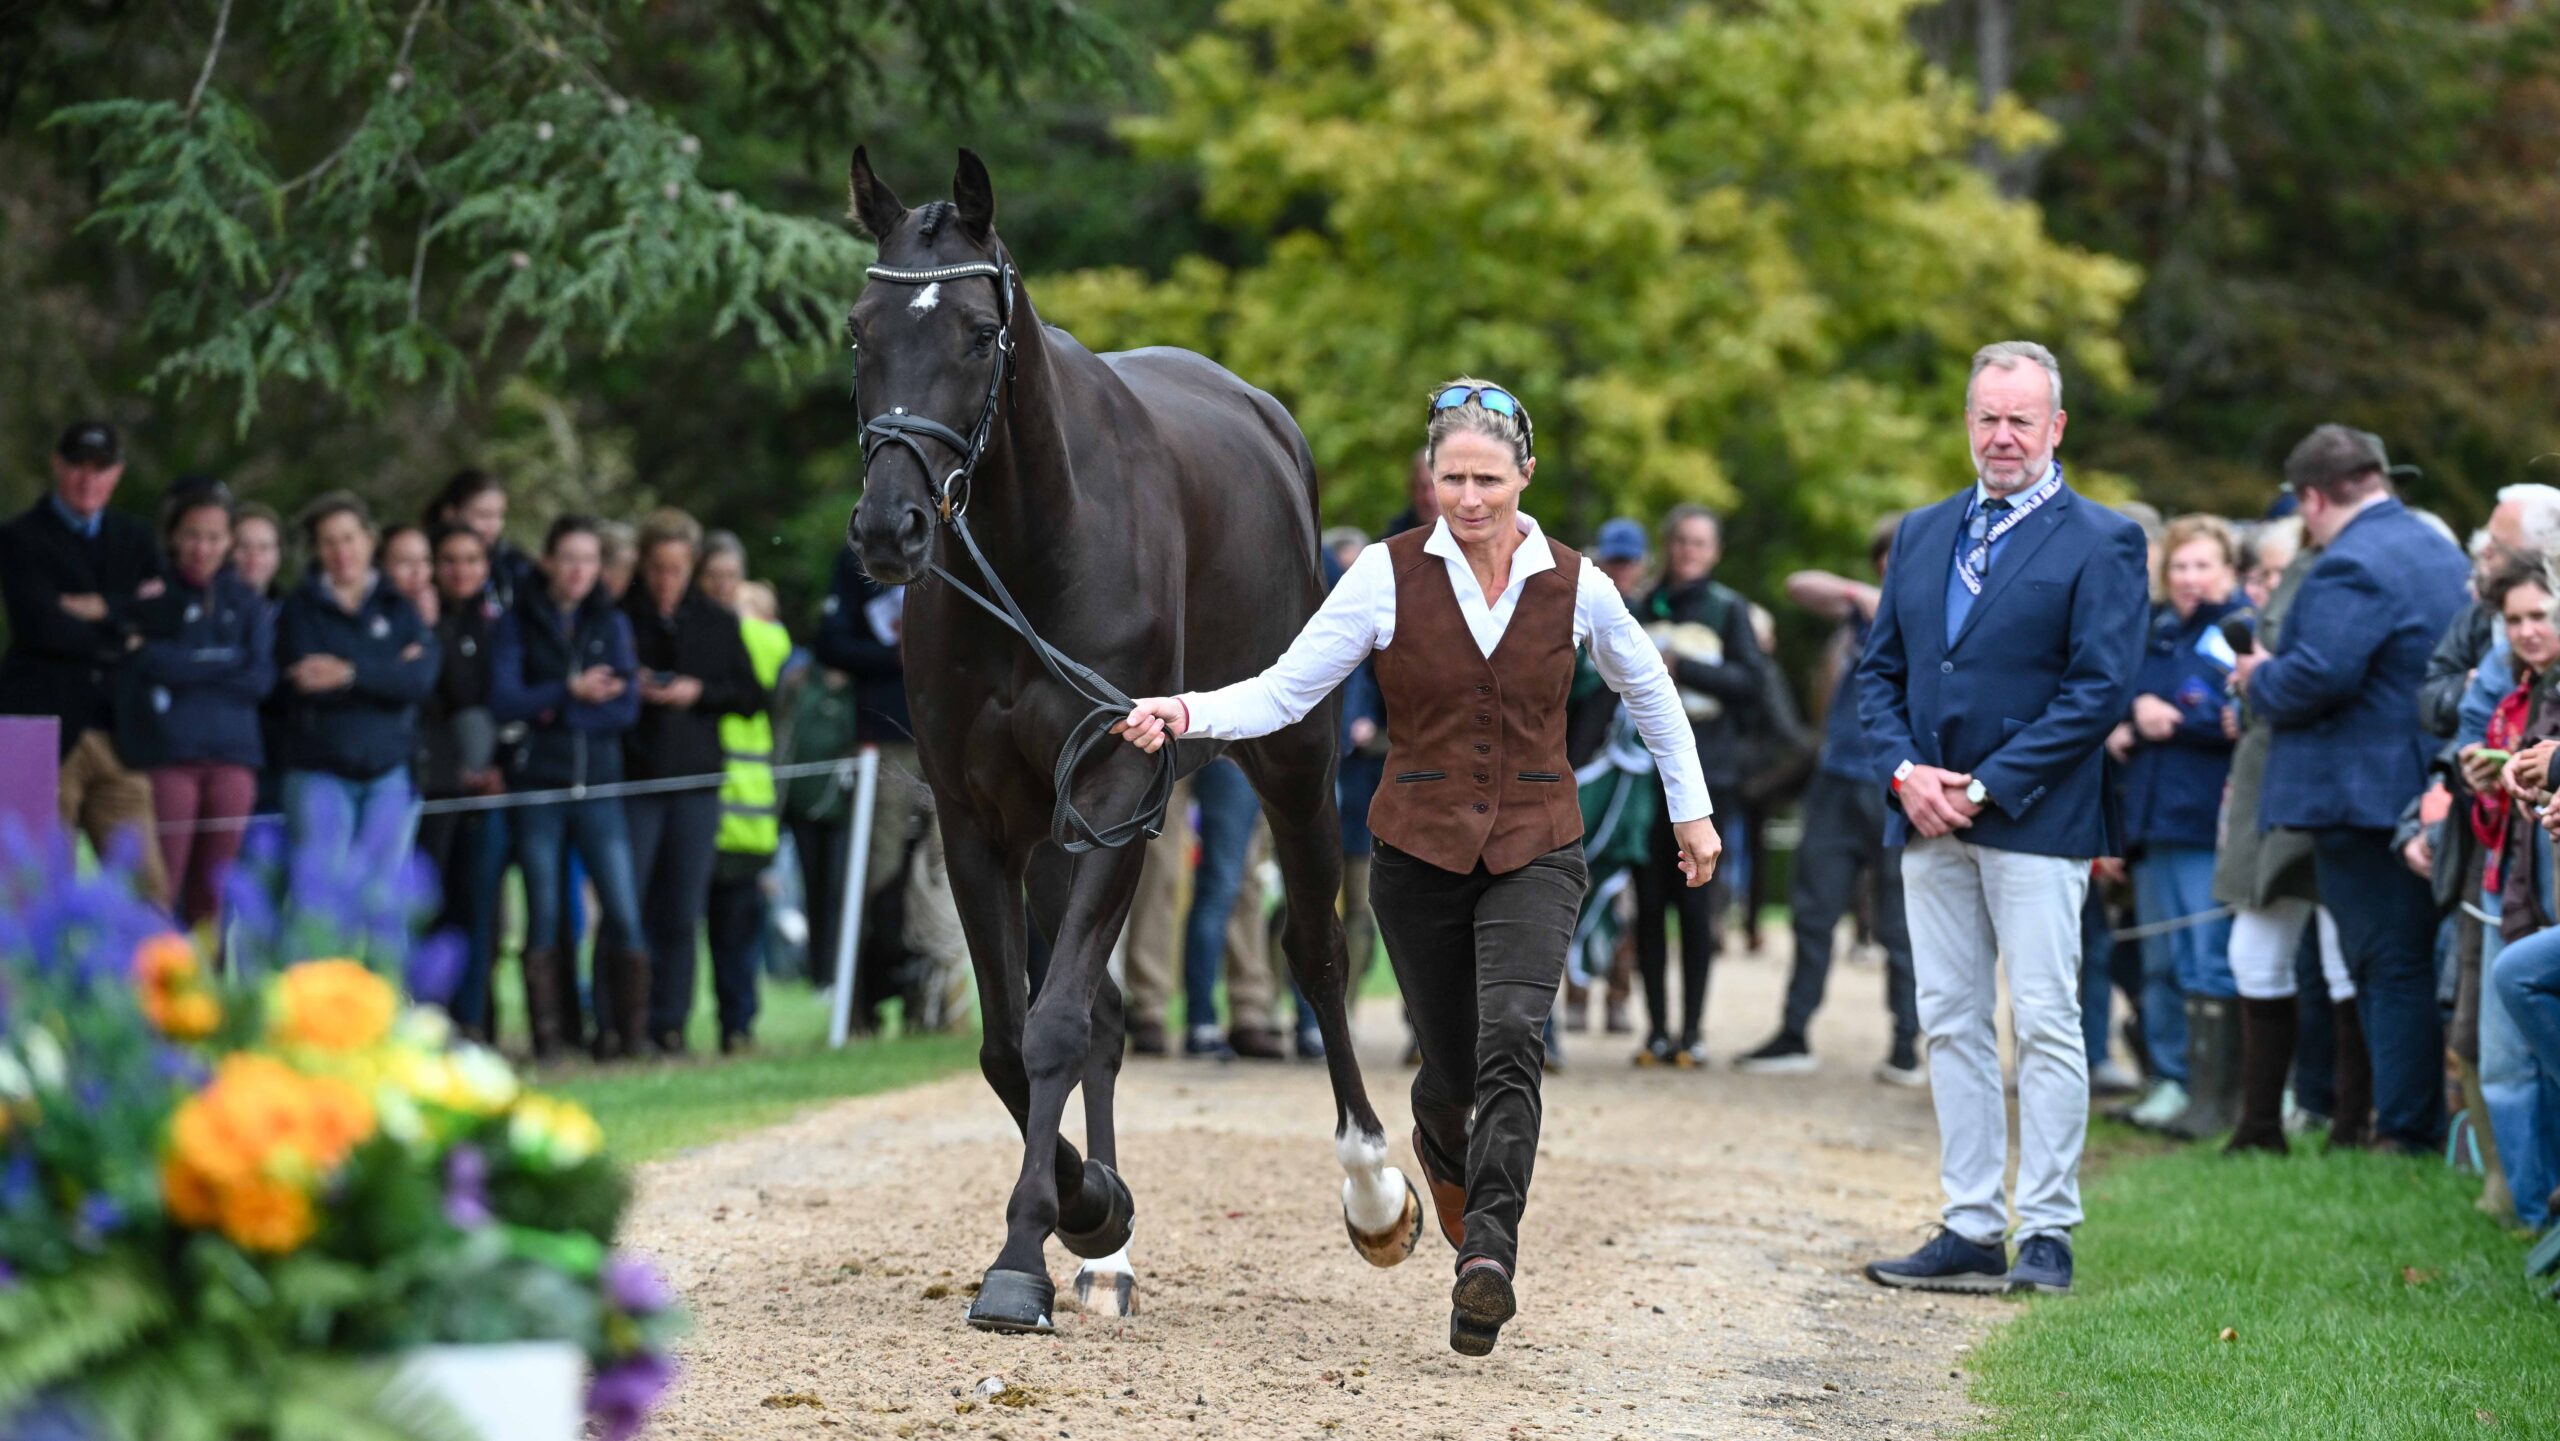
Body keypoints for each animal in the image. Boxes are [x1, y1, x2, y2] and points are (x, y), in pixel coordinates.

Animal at [841, 148, 1424, 1333]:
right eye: (859, 330)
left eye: (979, 330)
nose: (890, 526)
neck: (1035, 546)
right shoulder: (983, 820)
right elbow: (1016, 1036)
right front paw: (1086, 1210)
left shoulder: (1117, 791)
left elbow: (1056, 1026)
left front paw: (1031, 1246)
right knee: (1106, 1016)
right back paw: (1105, 1255)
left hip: (1295, 764)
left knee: (1317, 952)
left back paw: (1374, 1189)